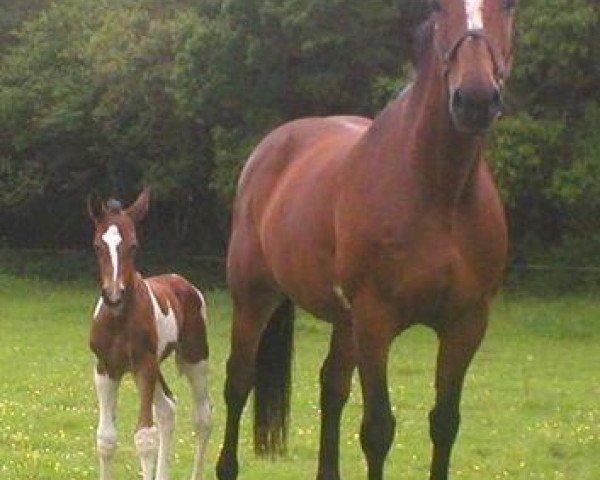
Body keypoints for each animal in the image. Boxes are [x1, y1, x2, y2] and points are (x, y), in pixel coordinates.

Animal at [87, 188, 211, 480]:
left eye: (133, 246)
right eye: (98, 246)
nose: (114, 295)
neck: (119, 320)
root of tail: (182, 281)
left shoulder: (143, 366)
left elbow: (144, 437)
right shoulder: (106, 369)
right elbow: (106, 439)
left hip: (194, 357)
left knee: (203, 417)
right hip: (153, 367)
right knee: (167, 409)